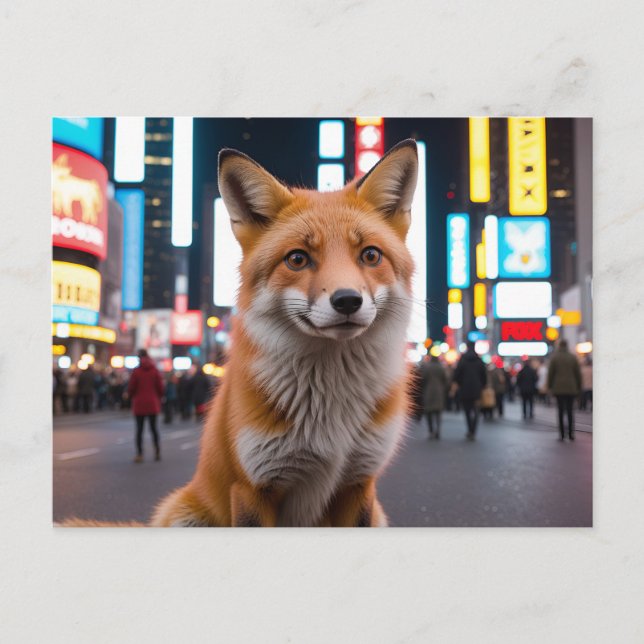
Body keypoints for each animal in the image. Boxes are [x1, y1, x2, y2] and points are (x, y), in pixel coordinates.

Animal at [62, 139, 419, 527]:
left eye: (370, 255)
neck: (330, 405)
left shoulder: (359, 483)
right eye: (297, 259)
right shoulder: (251, 486)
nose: (348, 301)